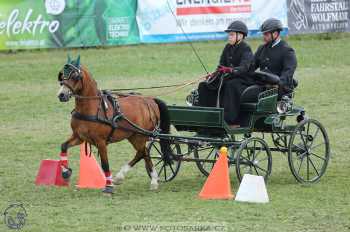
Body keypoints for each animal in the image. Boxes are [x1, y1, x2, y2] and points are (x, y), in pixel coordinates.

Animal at [56, 55, 172, 194]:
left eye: (75, 76)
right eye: (62, 75)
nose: (61, 95)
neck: (91, 108)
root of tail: (149, 100)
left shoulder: (100, 142)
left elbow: (105, 164)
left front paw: (109, 187)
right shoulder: (79, 137)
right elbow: (63, 146)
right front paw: (65, 172)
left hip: (140, 135)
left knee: (143, 152)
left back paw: (150, 180)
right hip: (133, 135)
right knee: (143, 153)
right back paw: (135, 178)